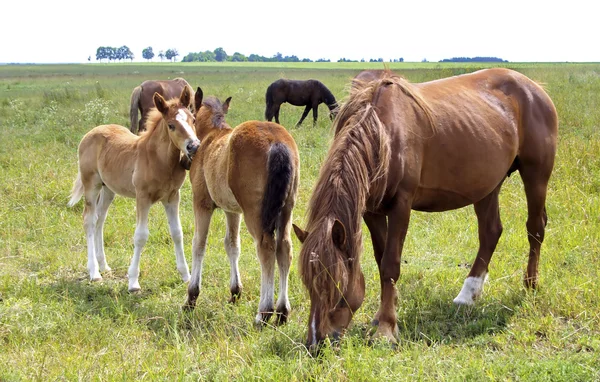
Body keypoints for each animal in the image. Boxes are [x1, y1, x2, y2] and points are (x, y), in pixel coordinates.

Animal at [67, 85, 200, 290]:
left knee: (99, 220)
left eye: (193, 119)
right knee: (89, 220)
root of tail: (90, 133)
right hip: (91, 185)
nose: (194, 146)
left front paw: (186, 275)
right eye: (171, 125)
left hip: (108, 189)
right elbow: (140, 236)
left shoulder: (172, 197)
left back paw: (104, 266)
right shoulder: (142, 197)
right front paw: (133, 281)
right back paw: (94, 272)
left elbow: (177, 233)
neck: (158, 160)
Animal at [185, 86, 300, 326]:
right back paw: (282, 312)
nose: (191, 149)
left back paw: (264, 312)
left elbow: (199, 244)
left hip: (254, 213)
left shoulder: (201, 203)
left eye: (191, 116)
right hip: (286, 209)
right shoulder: (232, 210)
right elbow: (232, 244)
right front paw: (235, 292)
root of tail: (277, 142)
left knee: (266, 248)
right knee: (284, 248)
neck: (211, 136)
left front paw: (191, 297)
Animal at [292, 68, 560, 346]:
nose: (316, 342)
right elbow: (380, 258)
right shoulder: (372, 211)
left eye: (336, 283)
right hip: (487, 185)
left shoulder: (401, 205)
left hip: (536, 175)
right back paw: (468, 295)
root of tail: (534, 88)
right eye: (308, 283)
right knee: (490, 232)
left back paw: (530, 284)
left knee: (535, 228)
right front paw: (383, 314)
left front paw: (386, 329)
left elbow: (390, 264)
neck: (383, 133)